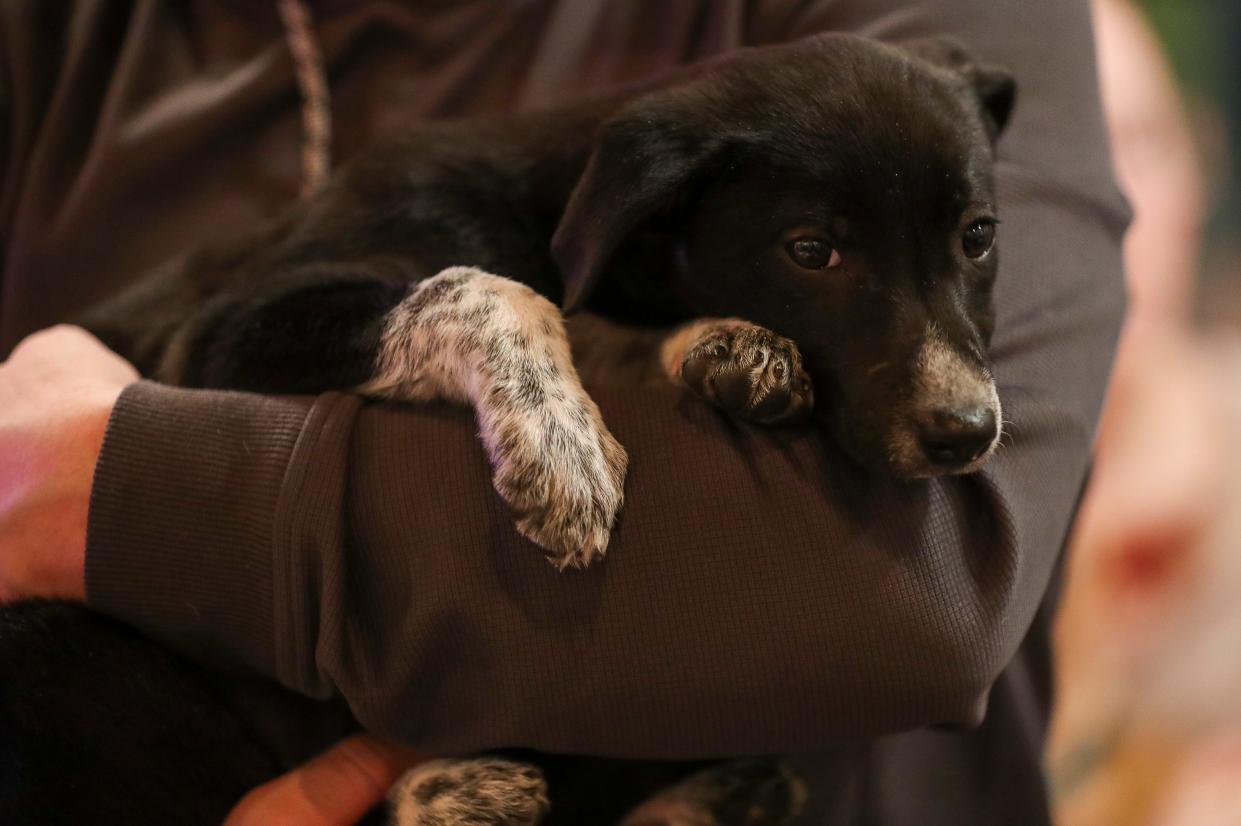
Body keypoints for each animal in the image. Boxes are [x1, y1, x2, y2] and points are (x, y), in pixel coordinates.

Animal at [0, 33, 1012, 823]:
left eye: (979, 236)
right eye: (810, 251)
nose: (965, 431)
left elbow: (590, 319)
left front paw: (723, 347)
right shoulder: (219, 334)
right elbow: (491, 285)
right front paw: (561, 447)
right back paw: (451, 797)